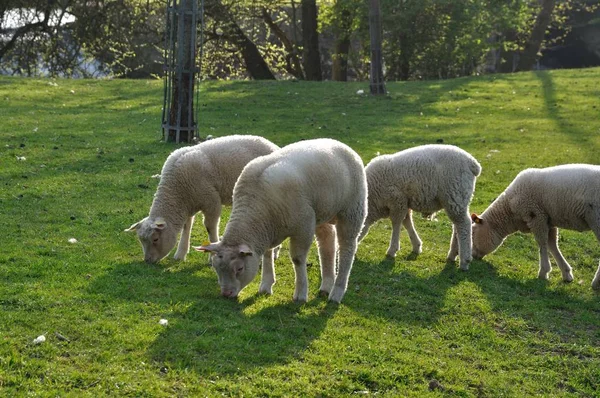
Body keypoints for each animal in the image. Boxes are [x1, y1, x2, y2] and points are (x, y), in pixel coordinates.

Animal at [126, 134, 278, 264]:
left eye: (155, 239)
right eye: (141, 240)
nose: (147, 261)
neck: (176, 191)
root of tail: (273, 145)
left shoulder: (212, 202)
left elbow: (210, 228)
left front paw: (212, 257)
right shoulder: (188, 205)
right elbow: (186, 227)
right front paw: (180, 254)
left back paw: (275, 253)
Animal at [195, 138, 368, 304]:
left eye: (239, 269)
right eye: (216, 268)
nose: (226, 294)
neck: (255, 206)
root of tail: (339, 143)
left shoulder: (303, 225)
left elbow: (298, 259)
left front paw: (300, 294)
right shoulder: (267, 230)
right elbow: (266, 254)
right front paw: (266, 285)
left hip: (352, 209)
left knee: (347, 248)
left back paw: (336, 293)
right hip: (322, 211)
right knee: (327, 244)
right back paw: (326, 286)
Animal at [472, 162, 600, 290]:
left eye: (472, 234)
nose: (472, 256)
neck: (510, 209)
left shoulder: (536, 216)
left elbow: (542, 243)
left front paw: (543, 272)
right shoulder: (549, 220)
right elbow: (552, 244)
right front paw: (566, 273)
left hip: (596, 219)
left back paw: (595, 283)